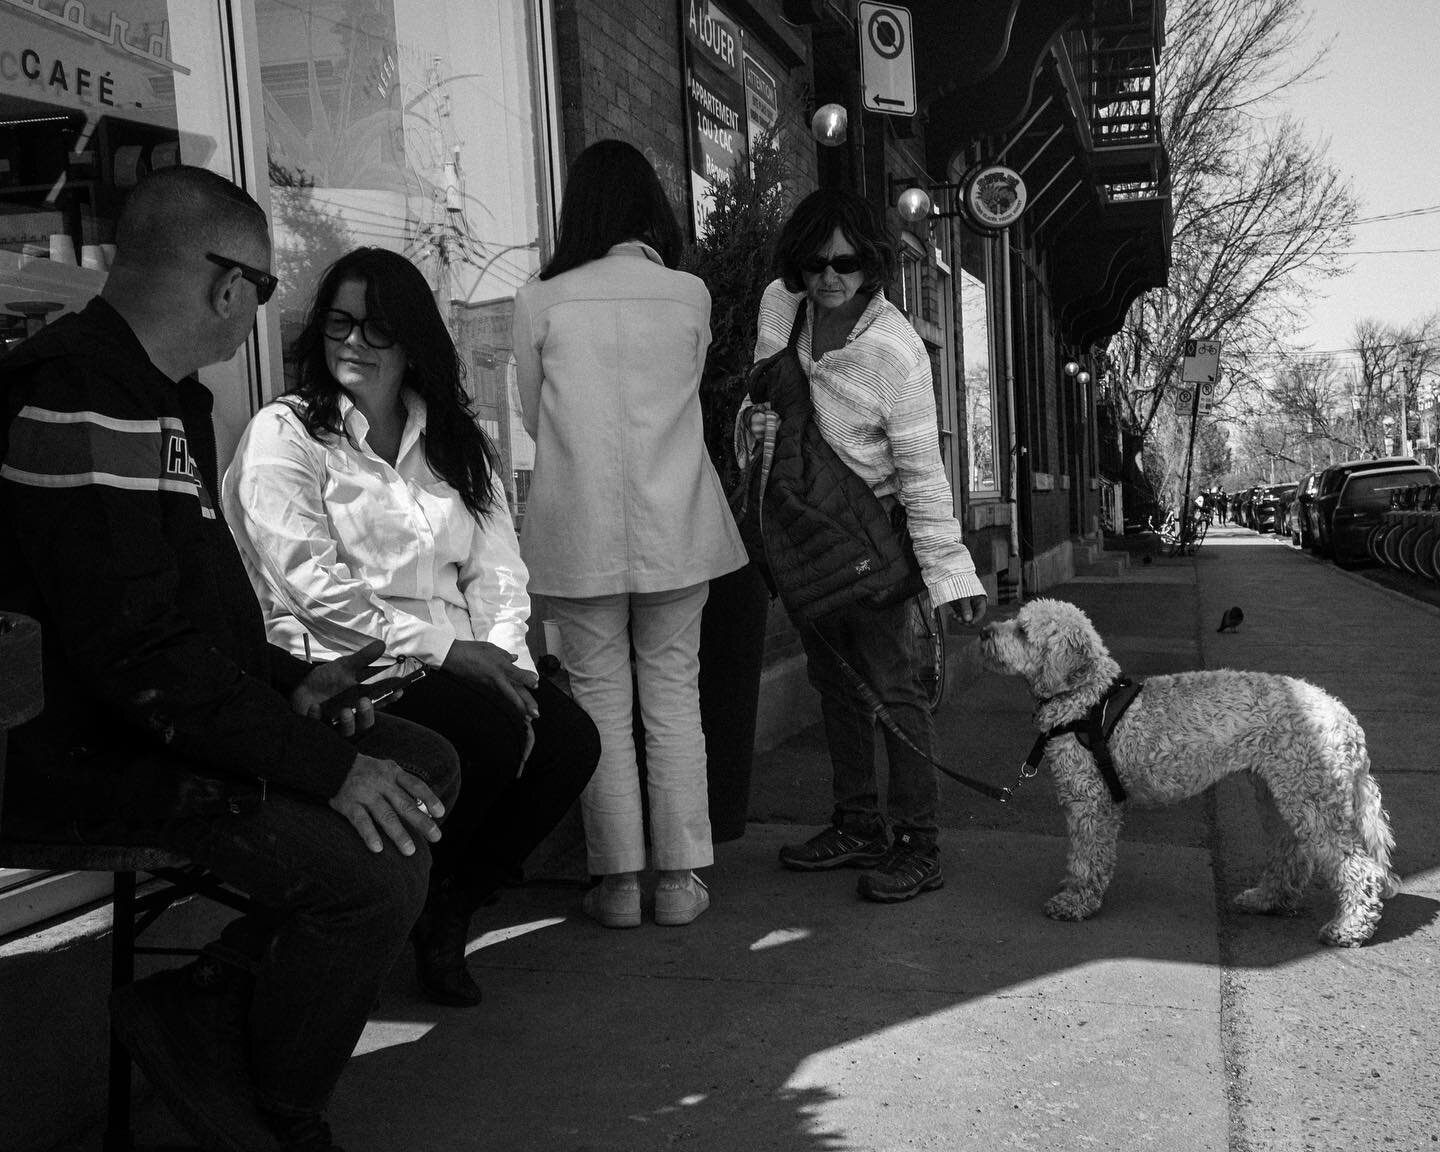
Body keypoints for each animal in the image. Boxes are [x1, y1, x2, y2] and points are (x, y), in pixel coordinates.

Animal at [979, 593, 1393, 944]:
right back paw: (1266, 899)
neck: (1087, 699)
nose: (983, 631)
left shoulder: (1089, 802)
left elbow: (1086, 857)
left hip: (1311, 797)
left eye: (1022, 630)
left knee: (1358, 867)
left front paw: (1075, 901)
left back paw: (1349, 928)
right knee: (1292, 854)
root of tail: (1344, 716)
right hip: (1282, 794)